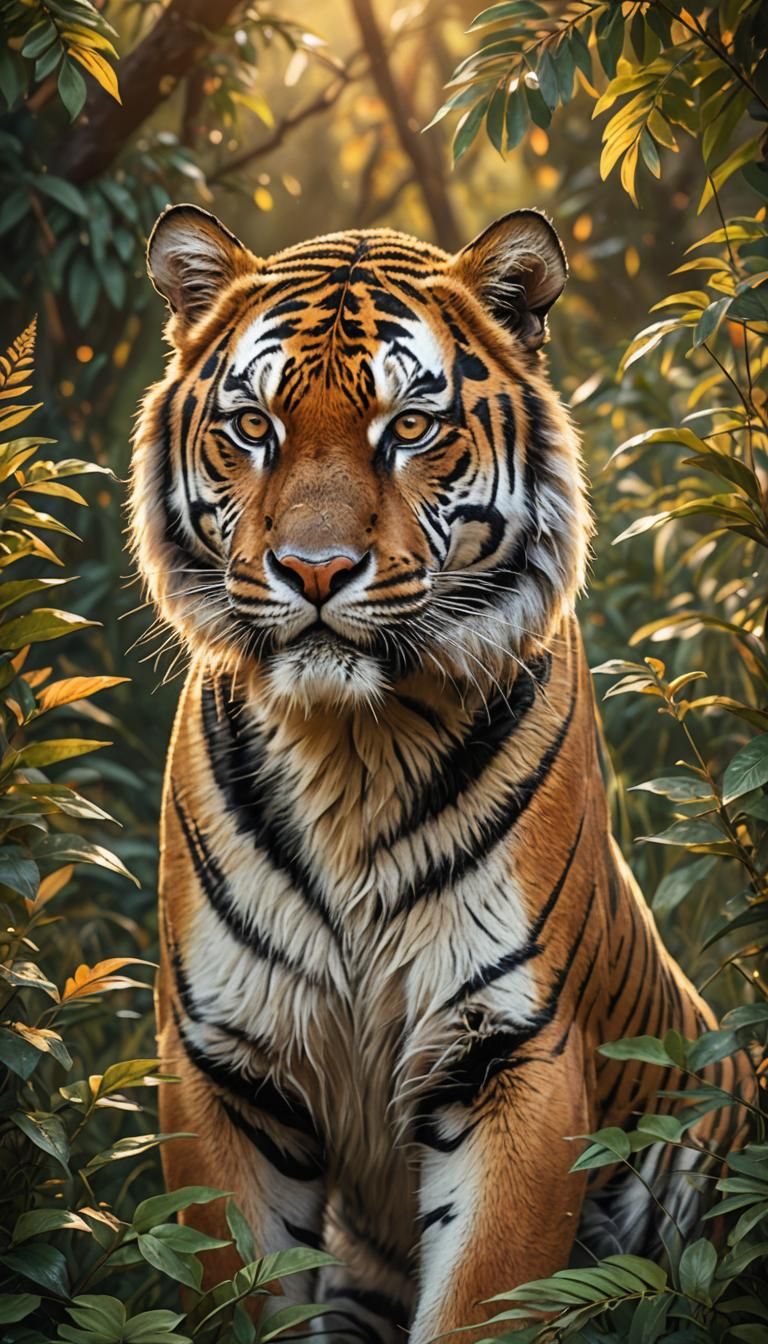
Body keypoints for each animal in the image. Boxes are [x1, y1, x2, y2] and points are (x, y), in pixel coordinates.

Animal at [131, 204, 749, 1342]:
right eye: (254, 426)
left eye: (410, 427)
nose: (315, 571)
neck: (349, 746)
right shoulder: (221, 1065)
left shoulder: (513, 1055)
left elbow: (483, 1301)